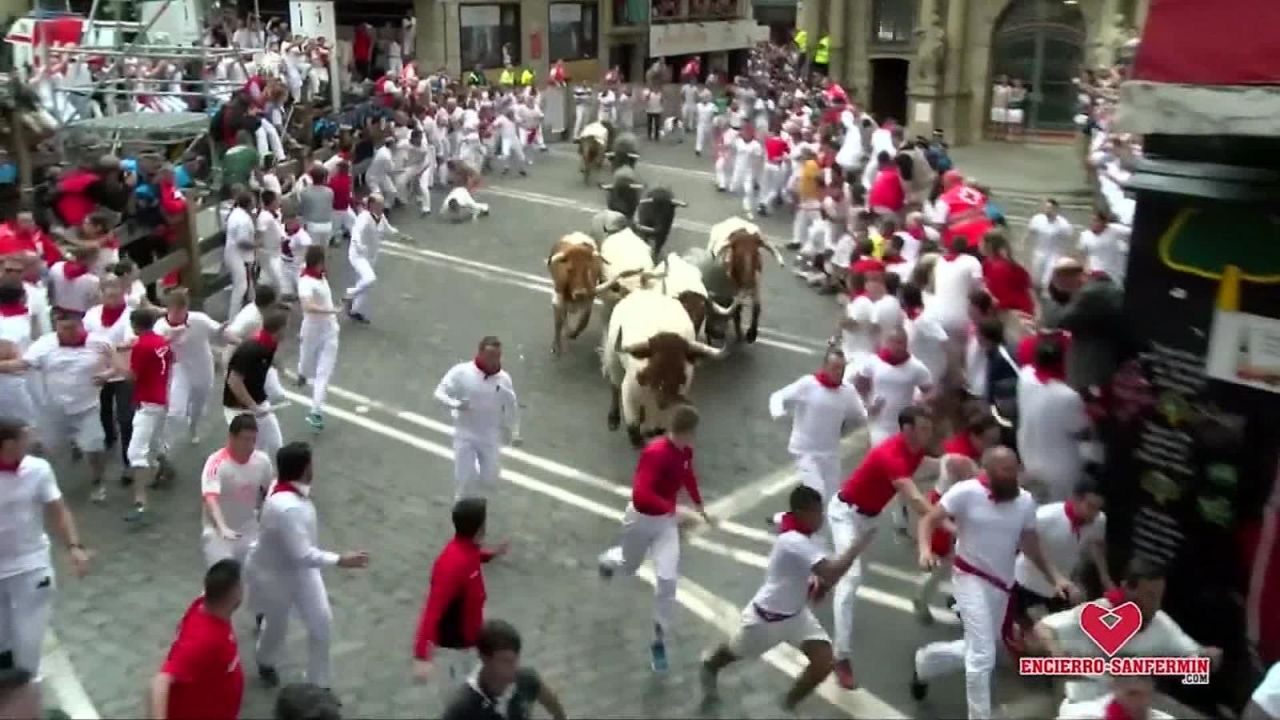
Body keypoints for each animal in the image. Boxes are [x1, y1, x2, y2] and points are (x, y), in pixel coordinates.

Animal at [601, 285, 721, 443]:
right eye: (656, 361)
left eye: (680, 368)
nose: (664, 400)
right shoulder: (629, 393)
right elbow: (634, 431)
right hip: (613, 357)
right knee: (614, 385)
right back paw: (614, 418)